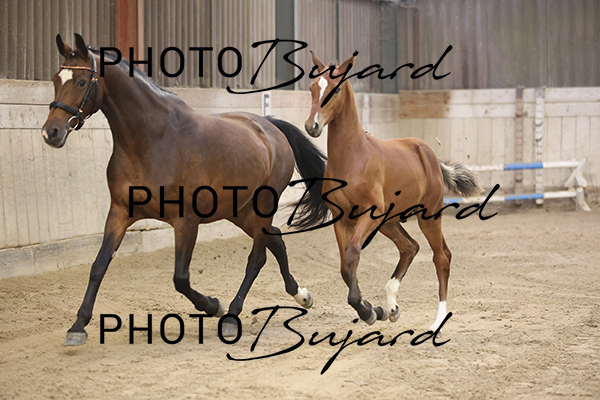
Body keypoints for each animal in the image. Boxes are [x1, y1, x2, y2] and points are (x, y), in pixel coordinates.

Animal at [42, 34, 329, 346]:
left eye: (82, 82)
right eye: (56, 79)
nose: (50, 133)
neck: (151, 140)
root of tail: (270, 128)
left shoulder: (186, 221)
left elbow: (181, 278)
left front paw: (214, 305)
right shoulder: (119, 213)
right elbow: (98, 266)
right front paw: (77, 326)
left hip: (262, 206)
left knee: (258, 257)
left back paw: (232, 316)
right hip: (238, 211)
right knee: (275, 240)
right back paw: (302, 296)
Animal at [304, 51, 481, 331]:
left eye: (337, 88)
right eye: (312, 87)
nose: (312, 125)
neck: (353, 157)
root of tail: (429, 155)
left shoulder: (369, 212)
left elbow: (352, 254)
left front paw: (366, 311)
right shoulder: (342, 219)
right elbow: (345, 264)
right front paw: (372, 308)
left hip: (428, 216)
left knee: (441, 257)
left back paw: (437, 320)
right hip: (389, 222)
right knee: (410, 247)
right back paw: (392, 307)